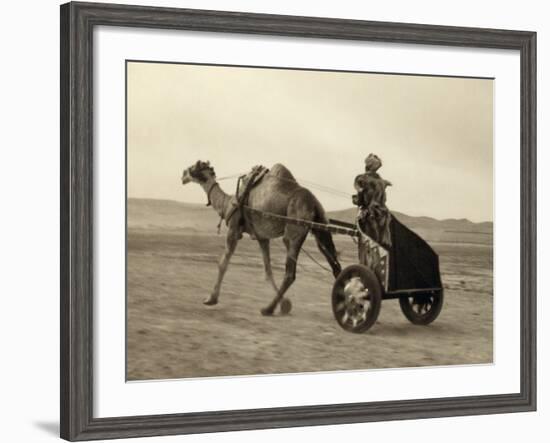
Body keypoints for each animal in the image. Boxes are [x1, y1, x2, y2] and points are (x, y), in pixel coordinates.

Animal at [181, 160, 342, 316]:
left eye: (193, 167)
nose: (182, 175)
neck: (227, 203)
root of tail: (314, 203)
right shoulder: (262, 237)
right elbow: (268, 270)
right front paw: (284, 304)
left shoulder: (234, 229)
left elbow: (223, 264)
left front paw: (211, 299)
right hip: (321, 228)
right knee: (335, 266)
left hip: (294, 230)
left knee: (290, 273)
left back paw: (268, 309)